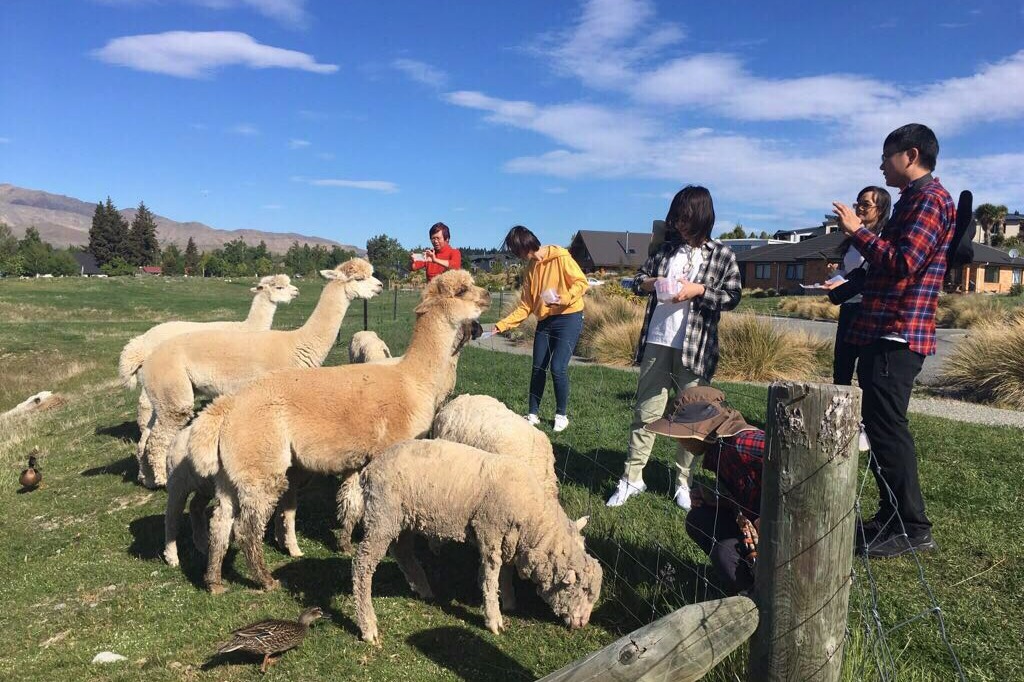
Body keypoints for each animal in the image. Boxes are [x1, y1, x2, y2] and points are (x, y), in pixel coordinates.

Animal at [138, 258, 382, 485]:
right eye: (359, 278)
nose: (380, 286)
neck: (297, 343)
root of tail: (147, 359)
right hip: (174, 393)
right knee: (158, 438)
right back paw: (161, 480)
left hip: (162, 396)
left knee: (146, 435)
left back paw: (146, 478)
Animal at [190, 268, 493, 593]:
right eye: (462, 290)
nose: (488, 295)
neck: (414, 380)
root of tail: (228, 406)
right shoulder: (391, 456)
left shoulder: (362, 459)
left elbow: (351, 503)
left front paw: (345, 543)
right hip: (260, 463)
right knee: (246, 527)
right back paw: (265, 579)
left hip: (232, 471)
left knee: (220, 521)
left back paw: (214, 582)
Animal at [356, 438, 602, 638]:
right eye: (583, 589)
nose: (582, 623)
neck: (532, 517)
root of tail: (369, 469)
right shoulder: (489, 532)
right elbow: (490, 577)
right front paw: (494, 619)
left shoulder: (508, 540)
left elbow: (504, 573)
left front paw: (509, 601)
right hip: (382, 516)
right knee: (362, 565)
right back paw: (368, 626)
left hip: (402, 518)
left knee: (402, 552)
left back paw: (423, 589)